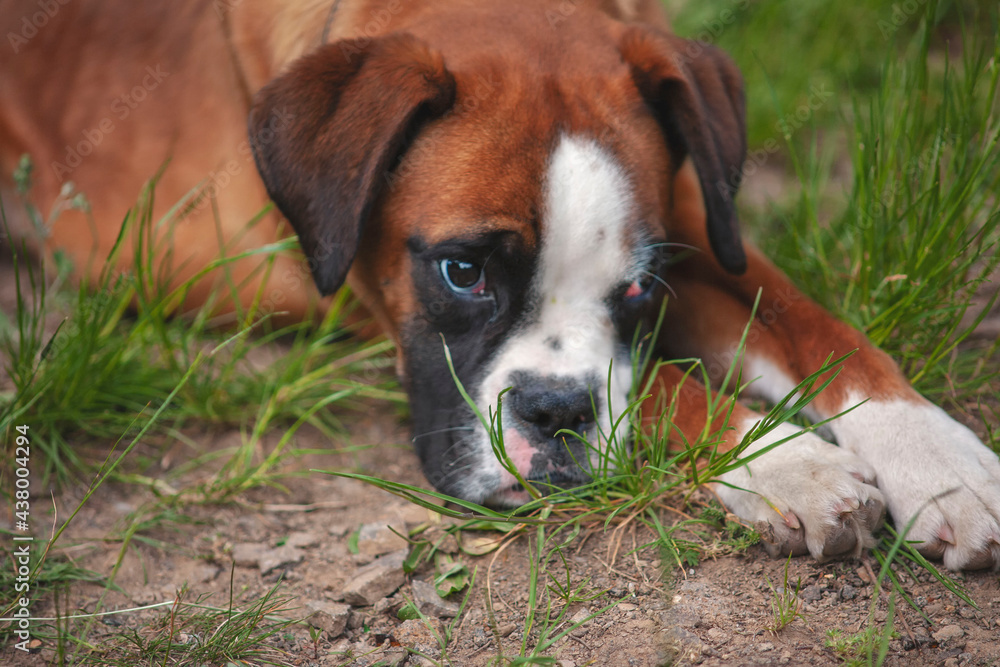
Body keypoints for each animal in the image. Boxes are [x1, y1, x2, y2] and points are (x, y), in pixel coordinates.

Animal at [0, 0, 996, 568]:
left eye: (639, 290)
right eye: (463, 271)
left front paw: (942, 464)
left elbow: (816, 327)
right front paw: (789, 461)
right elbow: (664, 386)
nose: (555, 416)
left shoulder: (697, 227)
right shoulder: (357, 299)